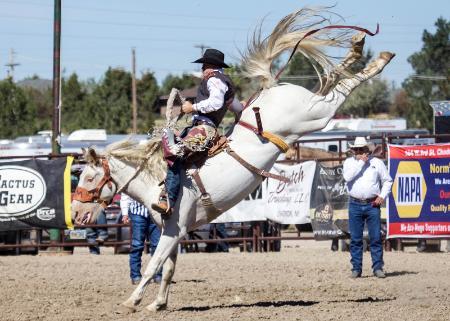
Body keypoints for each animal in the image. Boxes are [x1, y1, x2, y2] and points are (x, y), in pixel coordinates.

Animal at [70, 6, 394, 312]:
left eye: (89, 176)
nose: (75, 214)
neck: (157, 180)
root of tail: (272, 87)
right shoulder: (175, 232)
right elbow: (168, 269)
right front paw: (158, 304)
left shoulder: (173, 229)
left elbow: (153, 267)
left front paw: (132, 301)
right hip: (310, 112)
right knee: (333, 79)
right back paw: (360, 48)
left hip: (314, 115)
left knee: (339, 91)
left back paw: (375, 58)